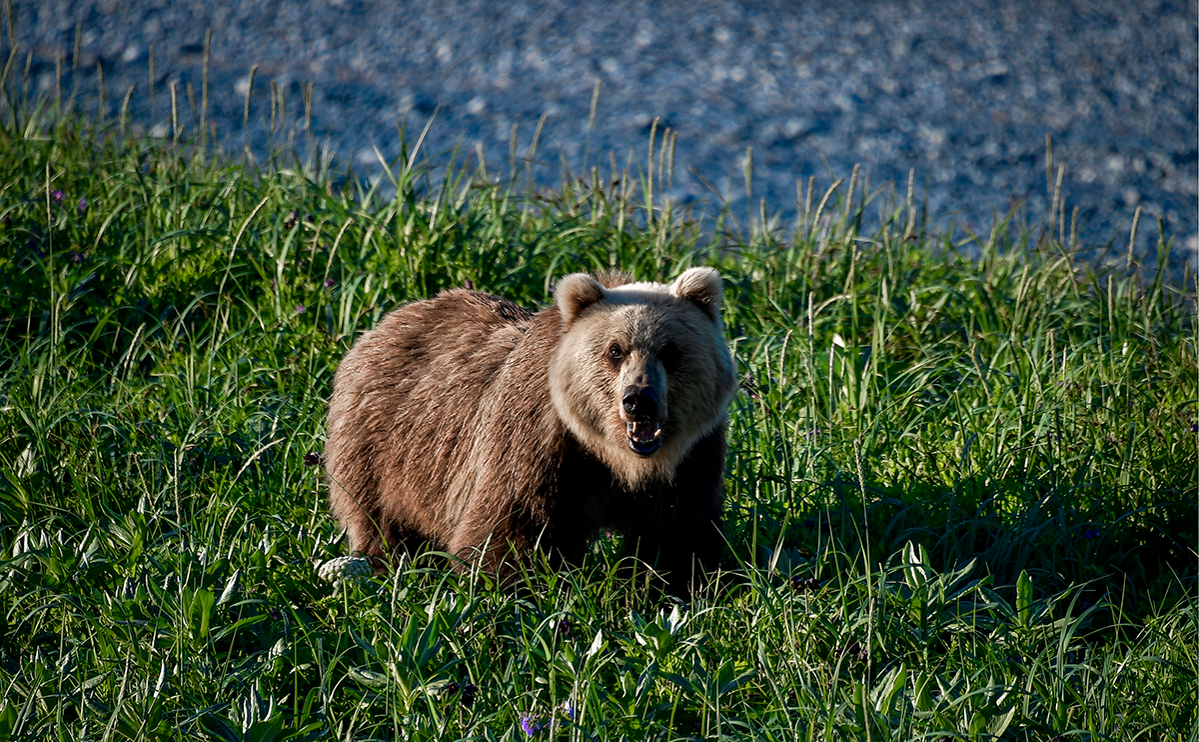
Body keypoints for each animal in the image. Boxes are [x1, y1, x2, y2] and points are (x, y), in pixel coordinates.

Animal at [324, 267, 737, 596]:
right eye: (615, 350)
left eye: (670, 350)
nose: (639, 399)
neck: (615, 458)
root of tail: (390, 319)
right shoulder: (537, 444)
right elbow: (510, 528)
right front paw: (514, 592)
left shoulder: (691, 458)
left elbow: (677, 534)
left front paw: (675, 588)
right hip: (383, 449)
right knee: (381, 524)